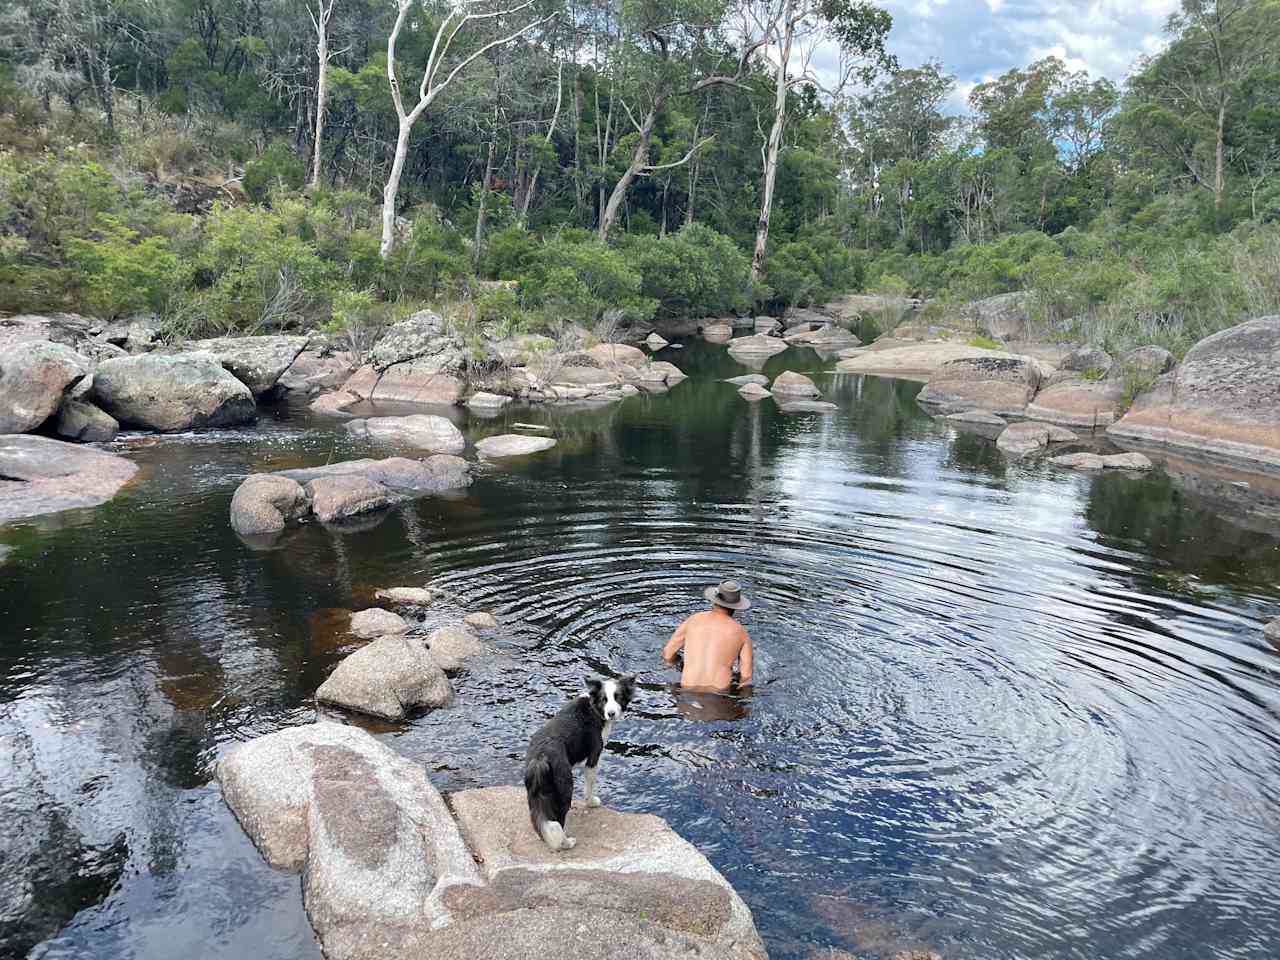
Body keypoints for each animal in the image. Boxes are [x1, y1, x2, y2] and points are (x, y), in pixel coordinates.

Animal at [524, 670, 634, 855]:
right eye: (604, 699)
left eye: (617, 697)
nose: (611, 713)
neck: (594, 708)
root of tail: (540, 758)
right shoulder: (593, 757)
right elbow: (590, 786)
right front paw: (592, 803)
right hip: (564, 787)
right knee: (557, 821)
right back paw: (567, 843)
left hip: (535, 793)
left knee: (540, 822)